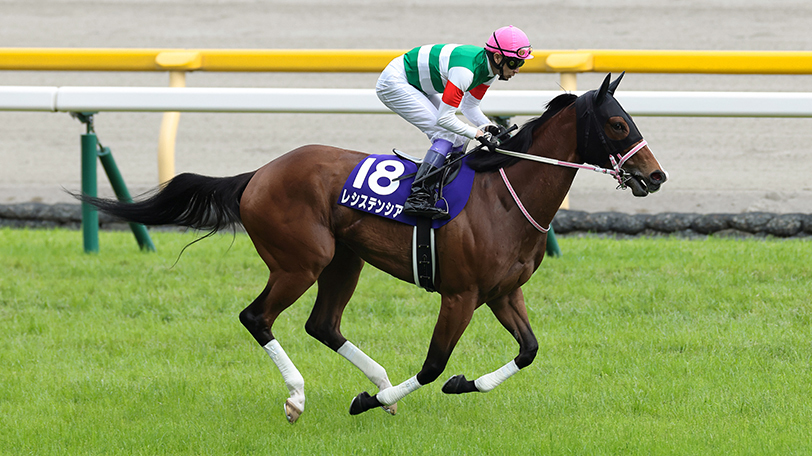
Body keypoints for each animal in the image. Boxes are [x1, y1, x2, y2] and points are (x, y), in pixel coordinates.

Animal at [81, 73, 667, 423]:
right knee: (256, 317)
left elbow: (528, 350)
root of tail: (257, 175)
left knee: (323, 324)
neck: (504, 196)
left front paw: (459, 385)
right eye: (619, 123)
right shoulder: (459, 294)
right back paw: (300, 396)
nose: (656, 176)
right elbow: (432, 363)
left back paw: (375, 378)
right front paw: (372, 400)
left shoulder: (504, 293)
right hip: (301, 261)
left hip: (345, 260)